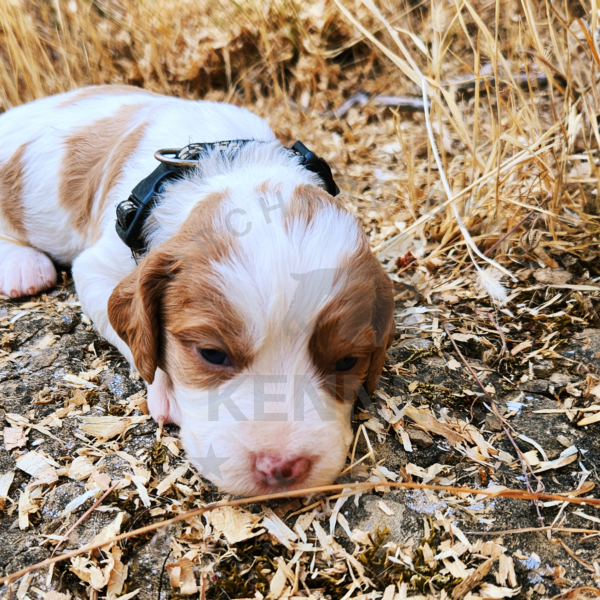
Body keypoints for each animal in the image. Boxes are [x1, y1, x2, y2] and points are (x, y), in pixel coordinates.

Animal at [0, 85, 396, 496]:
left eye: (348, 361)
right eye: (211, 354)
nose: (282, 468)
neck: (227, 163)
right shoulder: (96, 268)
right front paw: (164, 389)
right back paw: (23, 268)